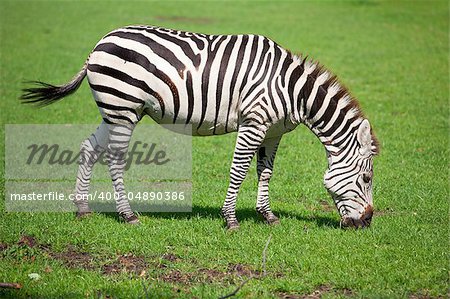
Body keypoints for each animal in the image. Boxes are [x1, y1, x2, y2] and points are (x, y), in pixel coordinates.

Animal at [22, 25, 380, 230]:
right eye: (366, 178)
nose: (367, 222)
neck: (292, 90)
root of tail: (99, 43)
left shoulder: (273, 131)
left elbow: (265, 172)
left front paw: (267, 216)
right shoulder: (253, 123)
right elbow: (239, 170)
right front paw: (231, 219)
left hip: (117, 109)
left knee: (88, 148)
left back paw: (82, 208)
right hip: (122, 108)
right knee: (113, 158)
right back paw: (127, 214)